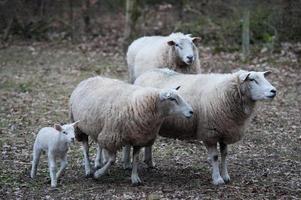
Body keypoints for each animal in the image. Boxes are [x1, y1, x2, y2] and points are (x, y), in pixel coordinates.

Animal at [127, 68, 276, 185]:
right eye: (252, 80)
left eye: (263, 77)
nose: (273, 91)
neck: (226, 92)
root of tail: (146, 73)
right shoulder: (210, 132)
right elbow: (215, 157)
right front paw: (217, 179)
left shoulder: (224, 131)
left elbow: (225, 154)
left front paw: (226, 176)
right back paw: (127, 164)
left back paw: (149, 162)